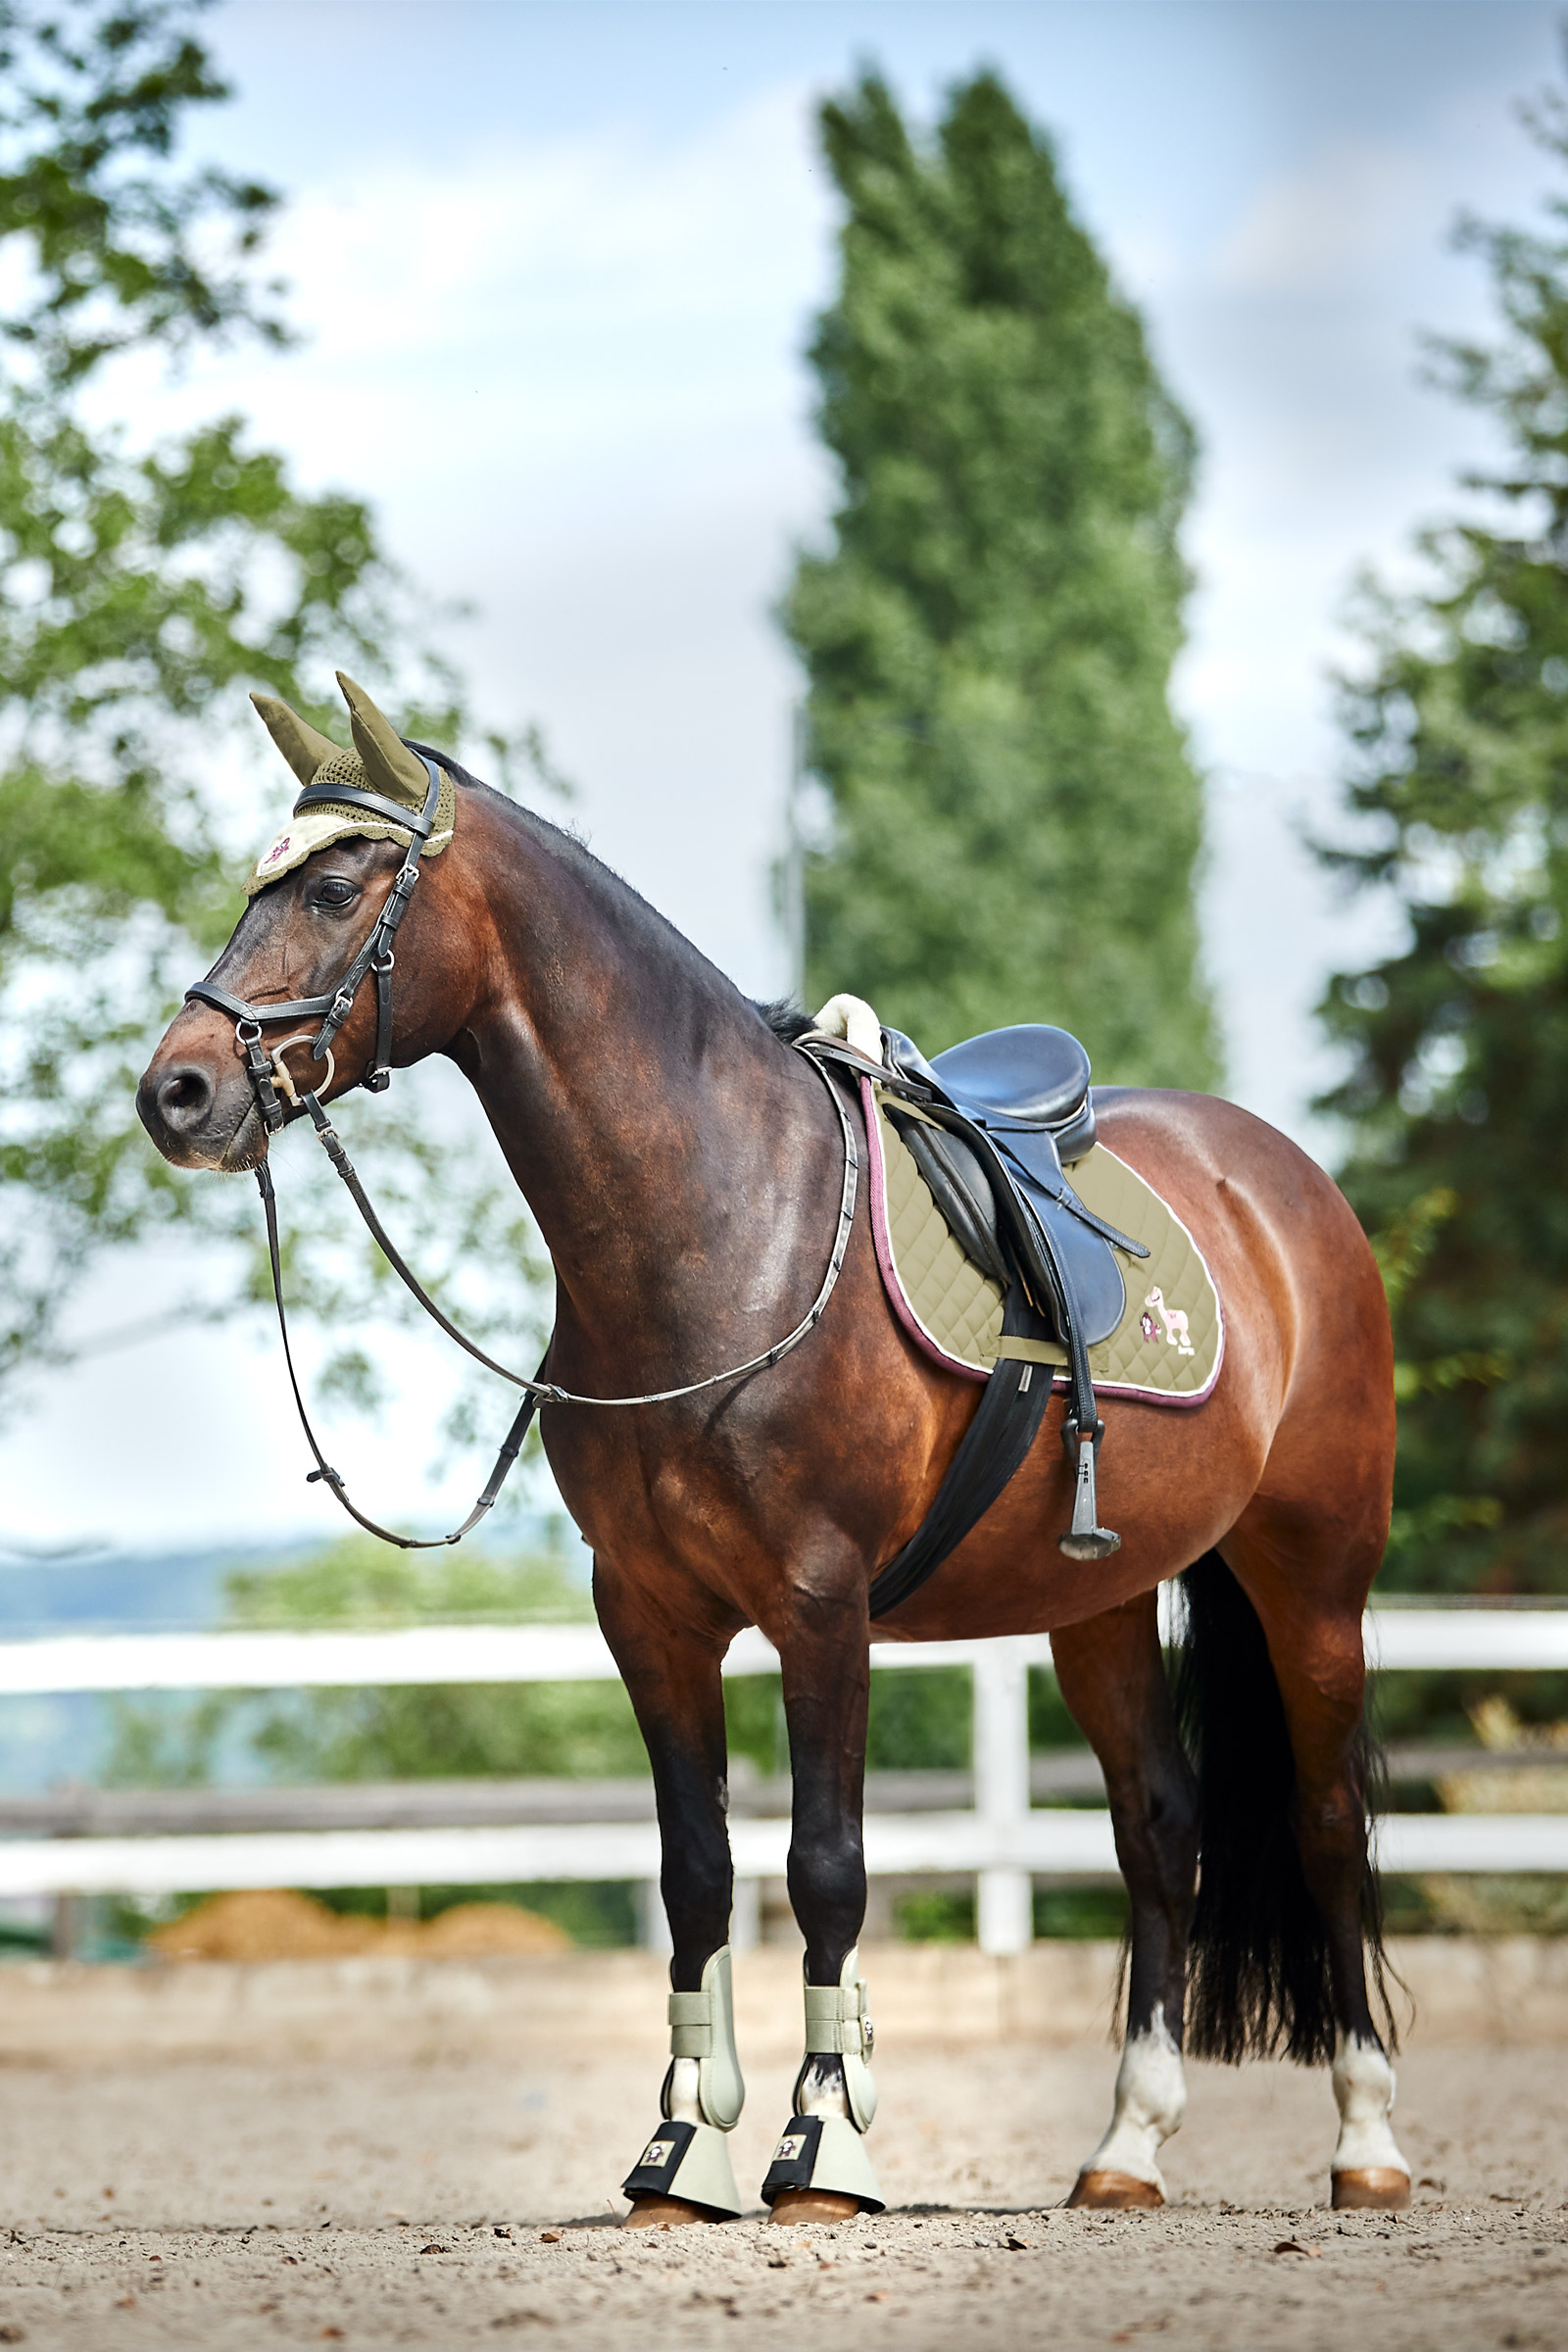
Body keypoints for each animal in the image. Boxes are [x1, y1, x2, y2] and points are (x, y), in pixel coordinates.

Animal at [137, 675, 1408, 2226]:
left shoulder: (821, 1605)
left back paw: (1366, 2141)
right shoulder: (652, 1615)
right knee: (1159, 1831)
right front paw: (679, 2149)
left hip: (1315, 1573)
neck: (728, 1224)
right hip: (1099, 1601)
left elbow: (826, 1866)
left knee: (1327, 1821)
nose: (177, 1094)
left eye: (329, 887)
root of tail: (1279, 1180)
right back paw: (1124, 2148)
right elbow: (696, 1873)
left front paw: (822, 2145)